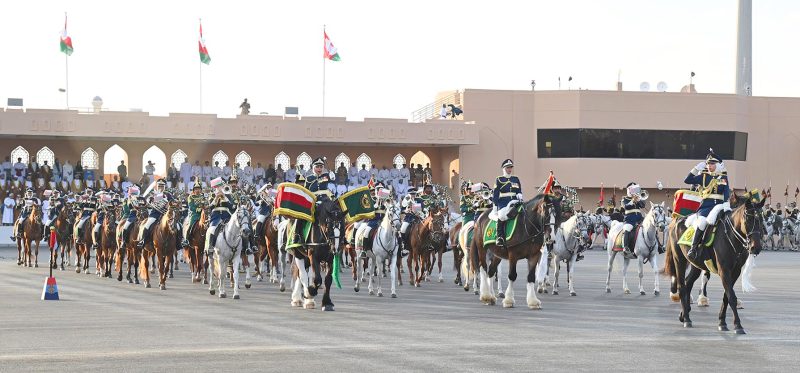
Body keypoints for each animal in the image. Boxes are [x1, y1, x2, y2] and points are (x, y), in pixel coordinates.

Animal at [660, 192, 764, 332]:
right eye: (748, 219)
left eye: (761, 219)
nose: (755, 247)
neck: (731, 236)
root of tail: (677, 221)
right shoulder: (724, 270)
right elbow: (731, 296)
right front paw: (737, 324)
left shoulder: (735, 271)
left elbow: (727, 296)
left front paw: (722, 322)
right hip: (679, 260)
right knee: (682, 286)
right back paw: (687, 319)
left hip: (696, 265)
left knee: (688, 283)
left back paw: (684, 314)